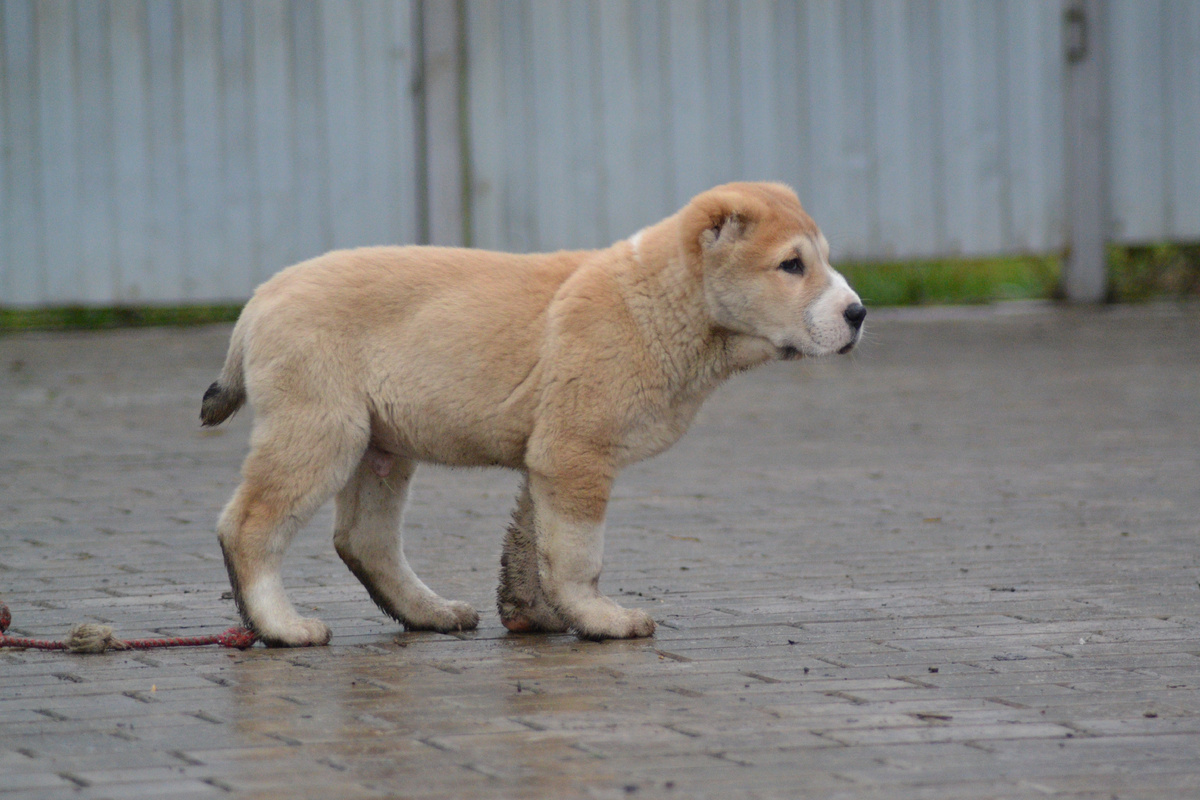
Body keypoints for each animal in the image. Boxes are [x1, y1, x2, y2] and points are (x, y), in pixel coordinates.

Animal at [200, 182, 865, 646]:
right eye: (791, 266)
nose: (858, 313)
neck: (658, 300)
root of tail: (260, 298)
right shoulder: (575, 454)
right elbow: (576, 554)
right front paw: (600, 618)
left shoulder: (546, 457)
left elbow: (532, 545)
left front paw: (534, 615)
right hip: (320, 432)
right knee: (249, 526)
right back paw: (281, 627)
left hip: (380, 447)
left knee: (364, 540)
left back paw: (428, 613)